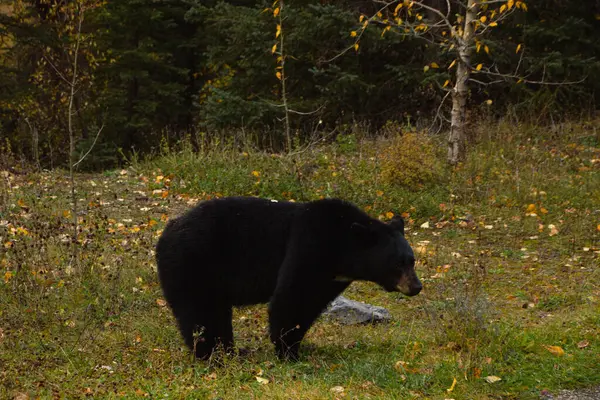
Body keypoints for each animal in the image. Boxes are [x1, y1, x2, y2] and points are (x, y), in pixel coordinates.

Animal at [157, 196, 424, 360]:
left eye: (412, 260)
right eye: (398, 263)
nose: (416, 286)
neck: (340, 244)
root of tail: (166, 232)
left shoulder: (330, 278)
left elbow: (308, 304)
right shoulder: (308, 245)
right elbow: (291, 297)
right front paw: (288, 351)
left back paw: (230, 351)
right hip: (195, 263)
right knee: (201, 311)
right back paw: (213, 354)